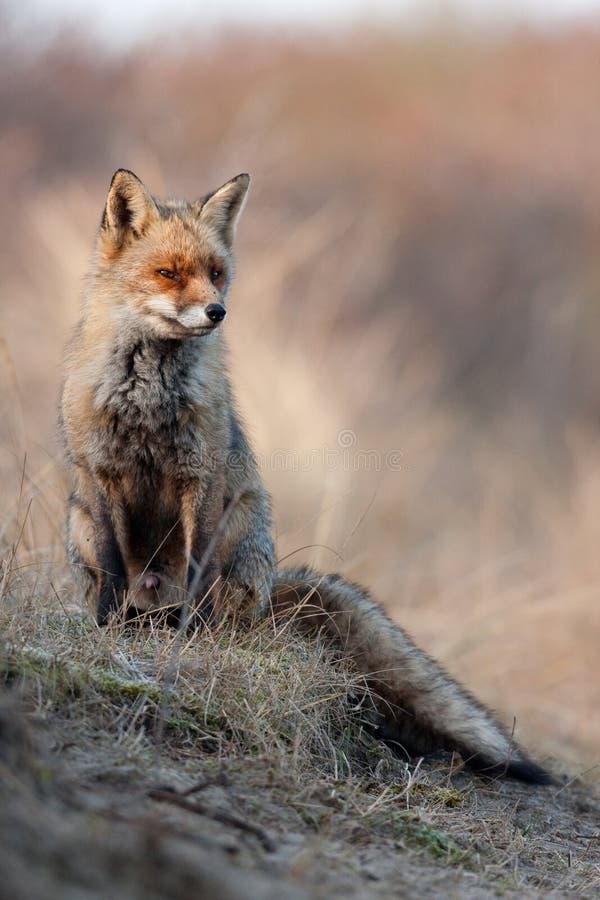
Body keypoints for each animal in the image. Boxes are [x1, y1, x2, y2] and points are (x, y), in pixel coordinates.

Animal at [60, 169, 551, 785]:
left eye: (216, 273)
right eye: (167, 273)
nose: (217, 312)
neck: (148, 394)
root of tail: (273, 592)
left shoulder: (202, 477)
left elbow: (198, 571)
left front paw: (191, 637)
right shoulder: (97, 475)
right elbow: (109, 564)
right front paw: (105, 625)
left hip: (242, 524)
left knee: (223, 610)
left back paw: (190, 624)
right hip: (76, 518)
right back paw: (134, 620)